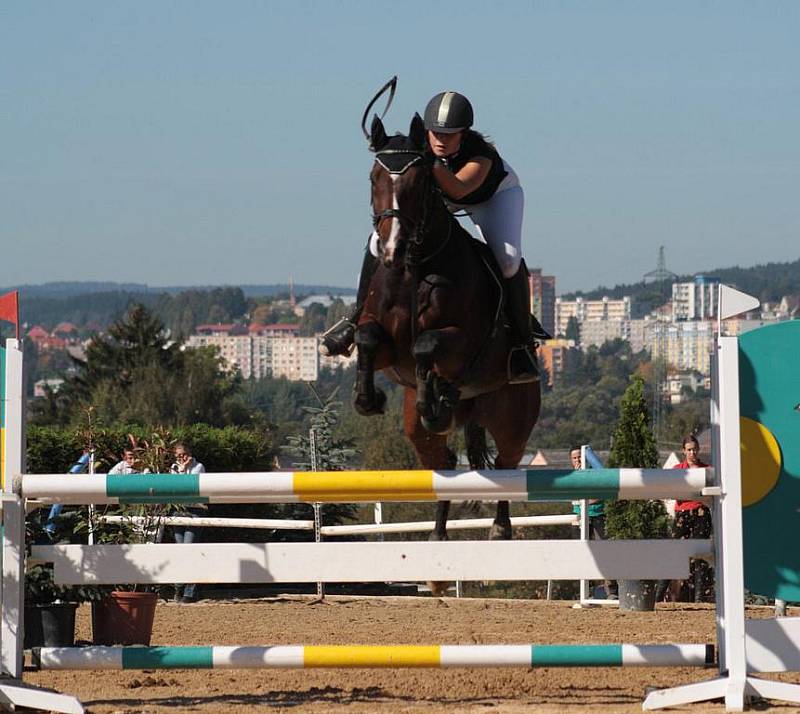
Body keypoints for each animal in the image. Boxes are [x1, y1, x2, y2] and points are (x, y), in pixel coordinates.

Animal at [356, 112, 544, 588]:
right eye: (374, 178)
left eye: (420, 182)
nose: (391, 249)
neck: (415, 267)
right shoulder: (387, 348)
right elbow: (366, 339)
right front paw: (368, 399)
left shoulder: (462, 343)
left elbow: (427, 344)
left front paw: (433, 395)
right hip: (421, 435)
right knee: (442, 468)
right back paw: (438, 547)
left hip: (513, 419)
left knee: (507, 467)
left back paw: (499, 532)